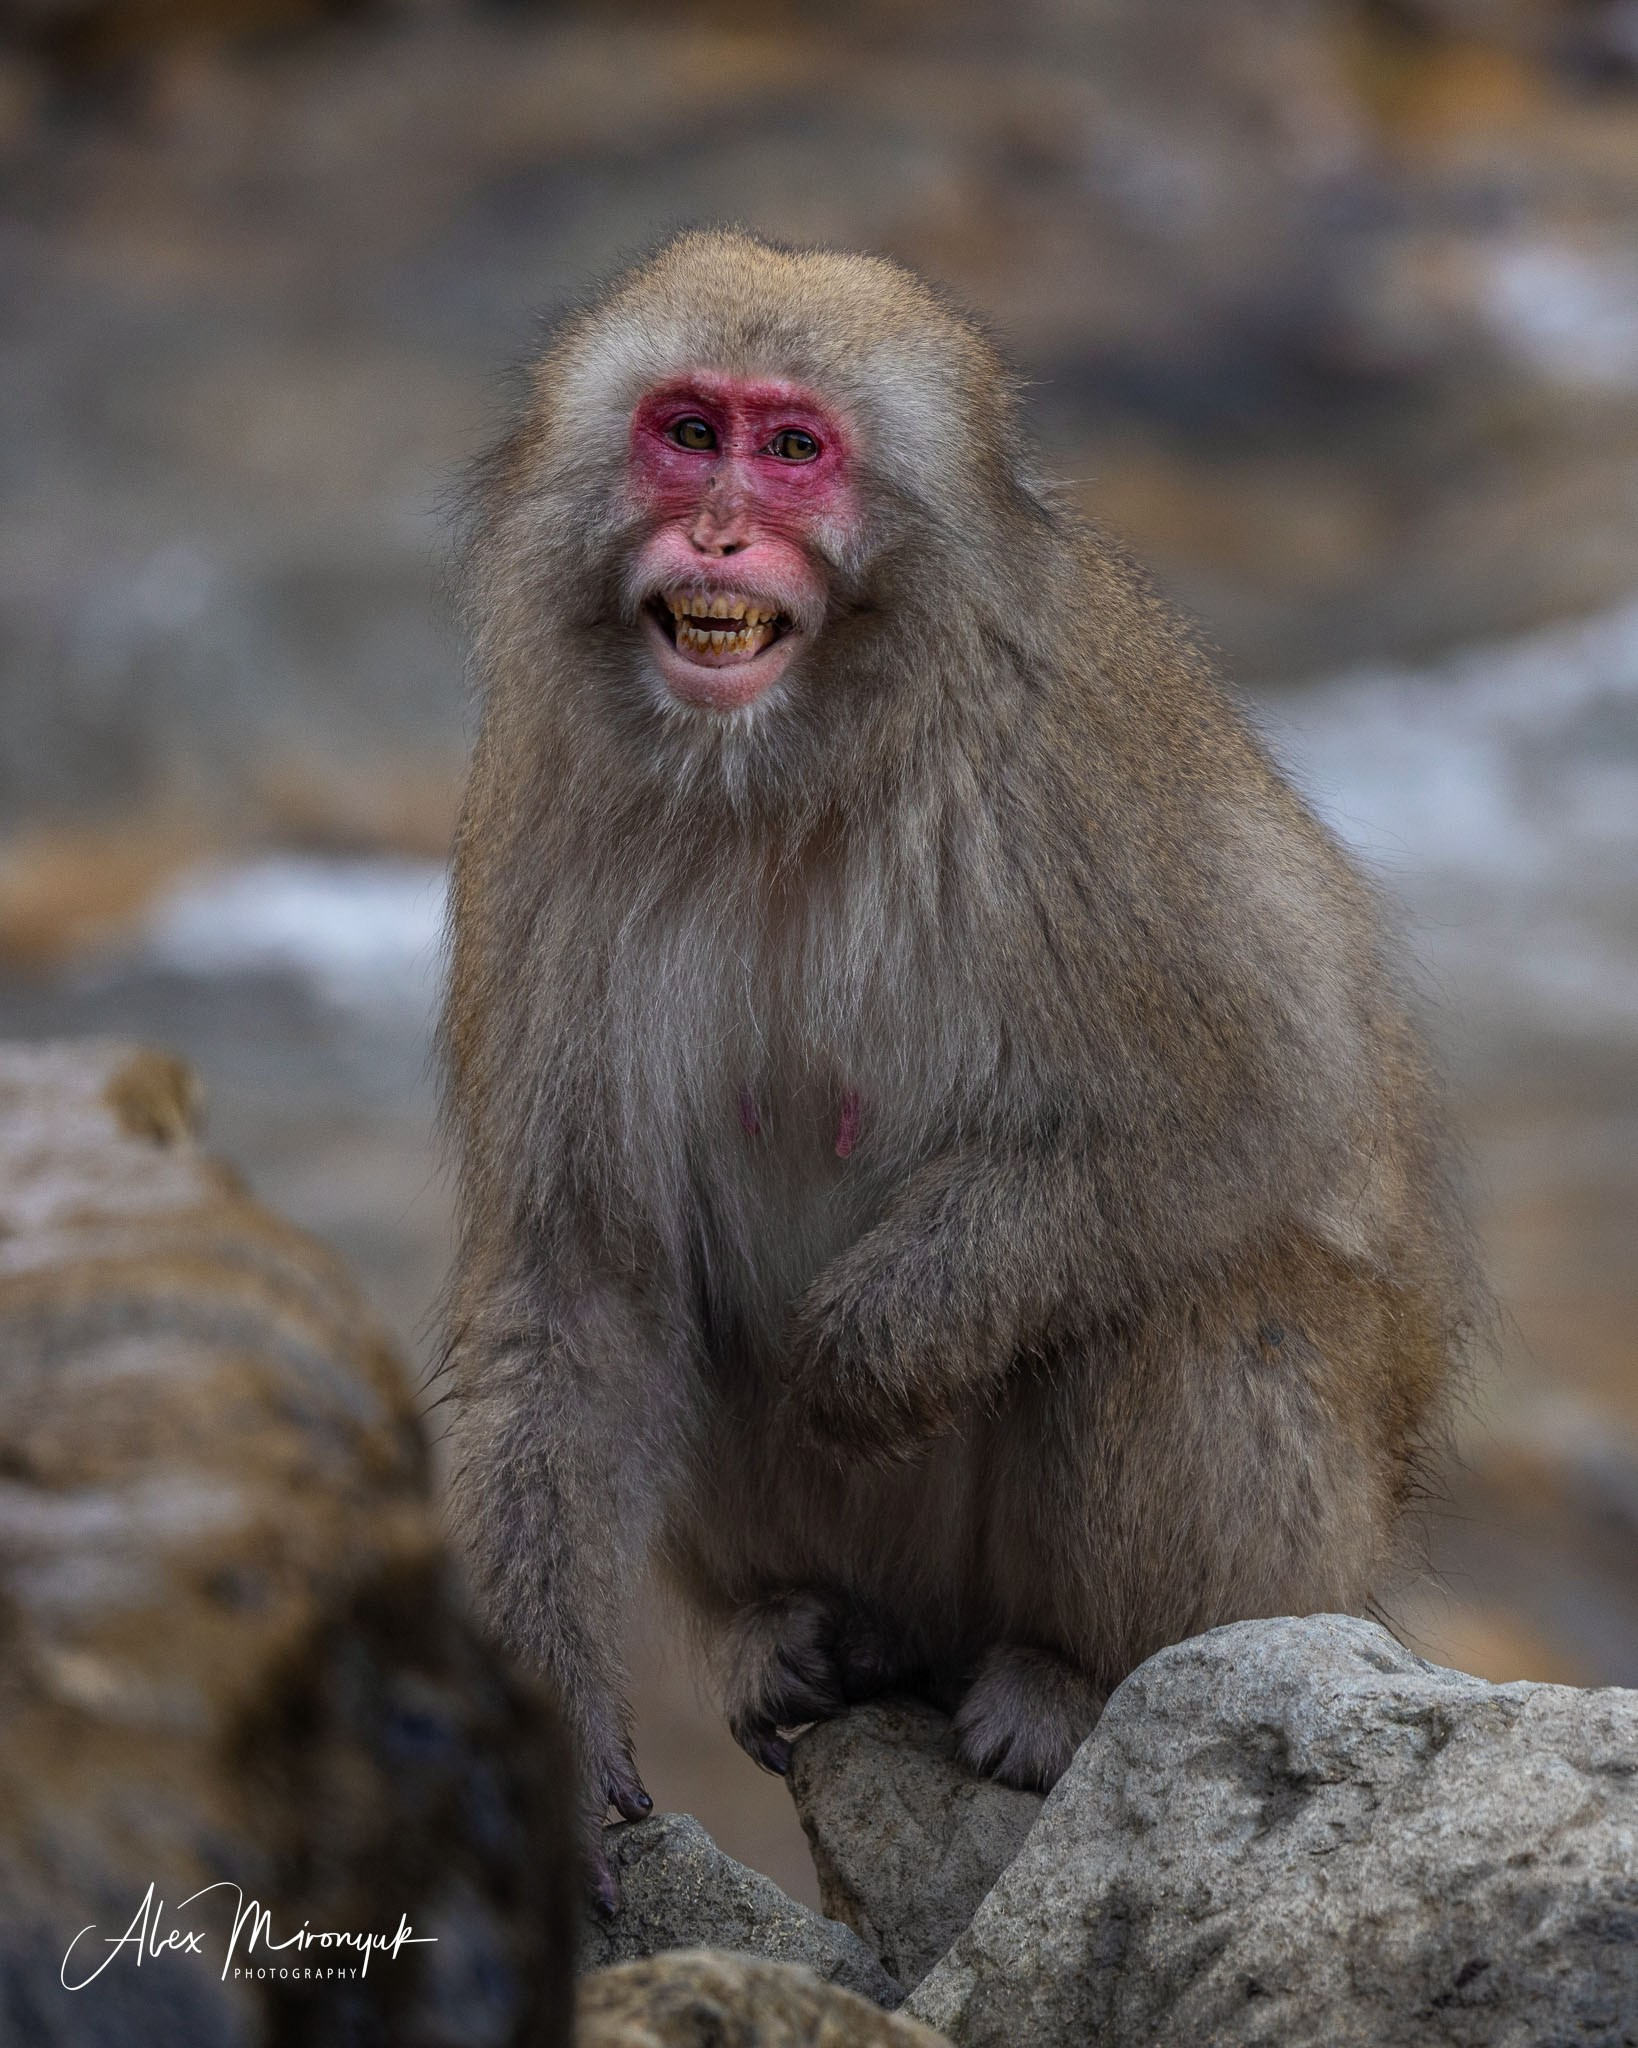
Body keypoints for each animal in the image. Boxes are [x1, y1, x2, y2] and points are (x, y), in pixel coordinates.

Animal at [437, 228, 1475, 1910]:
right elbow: (580, 1286)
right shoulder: (544, 807)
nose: (717, 530)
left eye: (793, 450)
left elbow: (1263, 1095)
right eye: (688, 431)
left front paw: (873, 1346)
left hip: (1298, 1559)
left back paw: (1068, 1676)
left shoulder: (1067, 771)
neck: (788, 773)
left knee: (1194, 1305)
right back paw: (801, 1637)